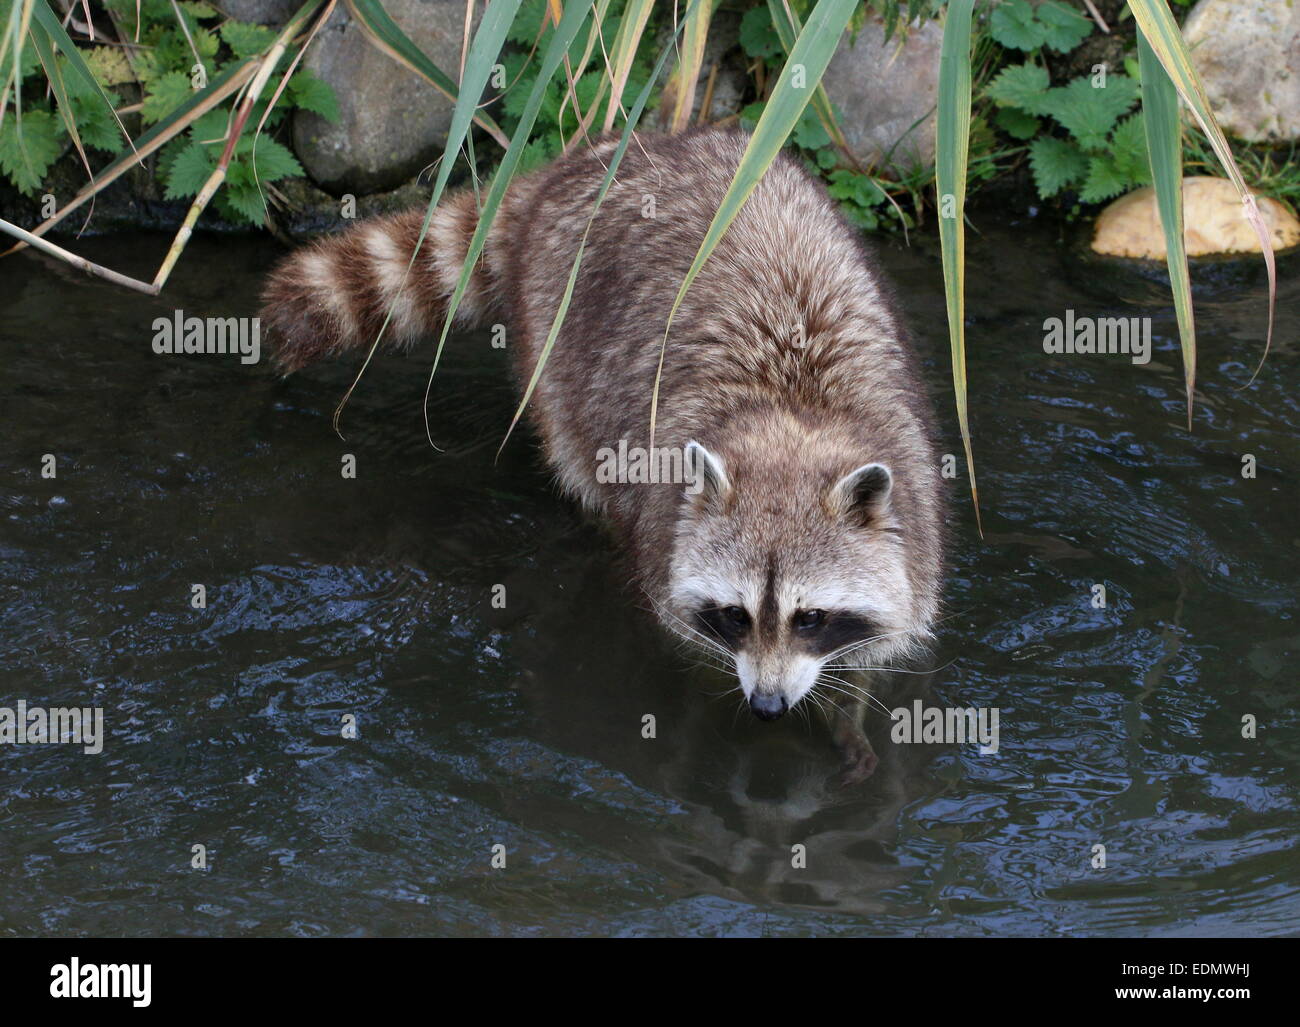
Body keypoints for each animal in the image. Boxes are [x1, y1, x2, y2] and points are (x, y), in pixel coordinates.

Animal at [261, 130, 946, 790]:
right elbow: (687, 644)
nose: (767, 707)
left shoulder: (912, 491)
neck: (790, 415)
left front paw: (845, 712)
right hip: (554, 321)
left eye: (811, 618)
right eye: (735, 614)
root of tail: (590, 160)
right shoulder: (666, 528)